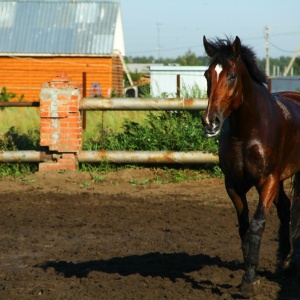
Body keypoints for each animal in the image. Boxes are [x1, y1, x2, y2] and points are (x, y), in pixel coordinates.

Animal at [200, 36, 300, 296]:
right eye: (207, 74)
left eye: (232, 75)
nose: (210, 122)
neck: (247, 132)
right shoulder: (233, 185)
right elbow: (244, 228)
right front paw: (249, 274)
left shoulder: (268, 181)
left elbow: (256, 226)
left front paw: (249, 283)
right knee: (285, 209)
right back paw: (284, 262)